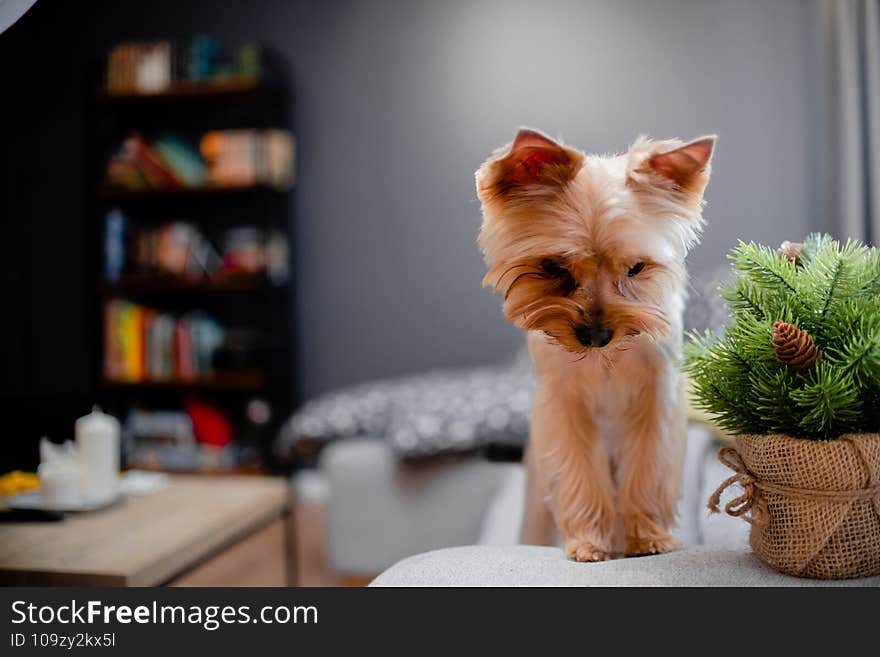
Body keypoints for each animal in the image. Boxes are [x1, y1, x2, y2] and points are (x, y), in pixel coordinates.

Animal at [474, 128, 716, 560]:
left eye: (637, 268)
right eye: (552, 268)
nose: (597, 337)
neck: (607, 359)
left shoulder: (656, 397)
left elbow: (649, 467)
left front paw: (649, 539)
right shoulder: (564, 403)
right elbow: (581, 473)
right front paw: (588, 543)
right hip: (536, 492)